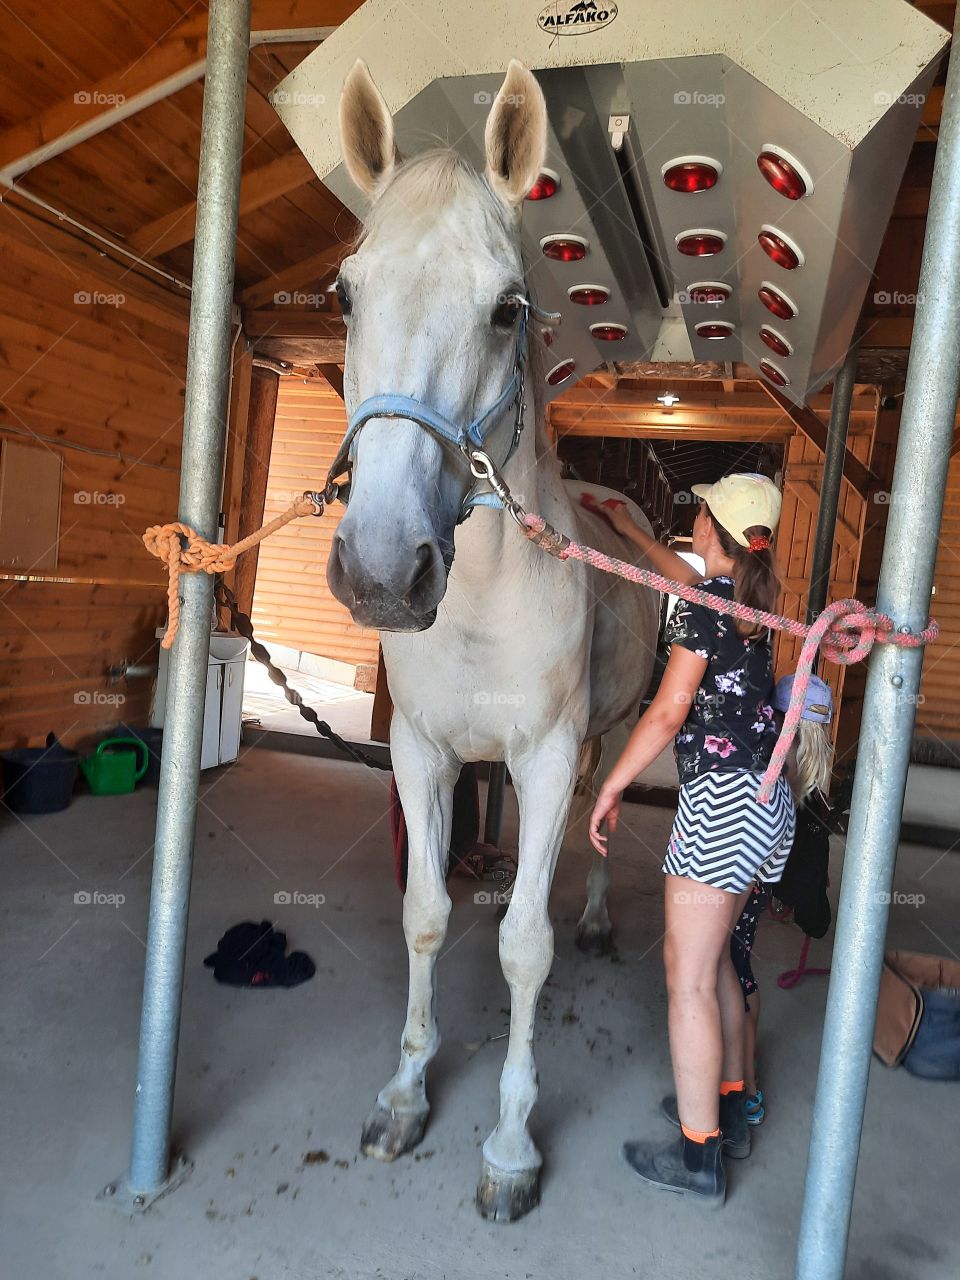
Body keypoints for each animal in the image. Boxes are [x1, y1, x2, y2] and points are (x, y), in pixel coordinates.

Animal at [330, 60, 660, 1218]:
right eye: (345, 293)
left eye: (508, 307)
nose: (385, 570)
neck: (480, 603)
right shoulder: (424, 754)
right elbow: (426, 914)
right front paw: (402, 1096)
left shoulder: (550, 758)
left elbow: (524, 945)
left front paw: (511, 1145)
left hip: (607, 741)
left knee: (601, 829)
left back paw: (599, 917)